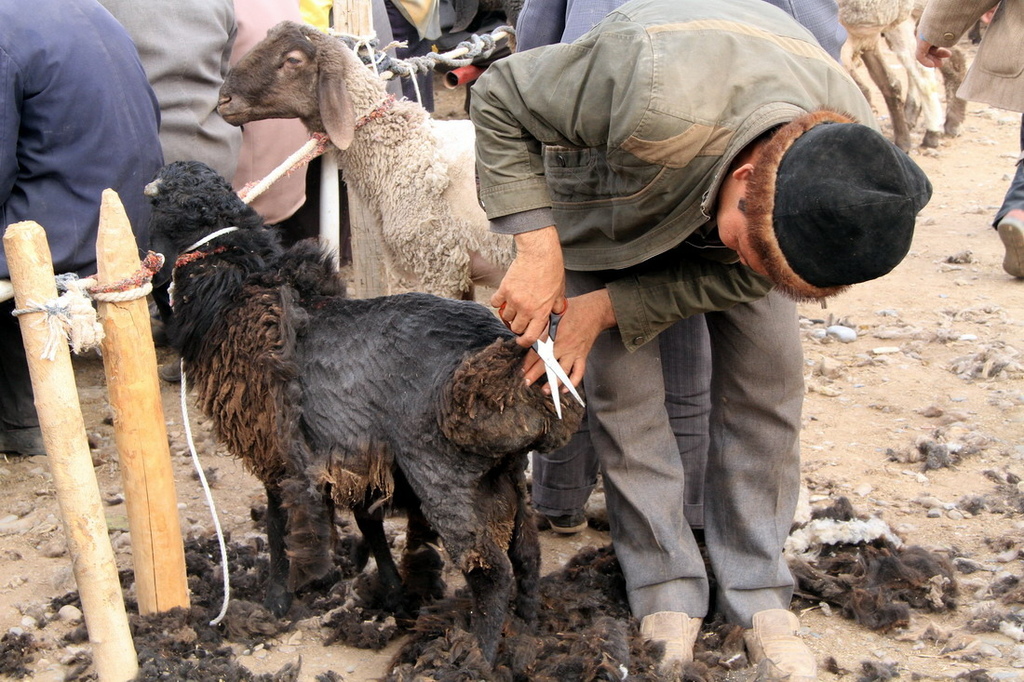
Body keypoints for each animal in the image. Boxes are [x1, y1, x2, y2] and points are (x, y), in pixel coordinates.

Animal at [142, 159, 585, 659]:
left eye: (159, 204)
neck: (239, 282)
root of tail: (512, 360)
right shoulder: (354, 453)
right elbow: (367, 523)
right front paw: (394, 594)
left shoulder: (276, 453)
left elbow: (278, 524)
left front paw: (276, 600)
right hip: (503, 472)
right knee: (526, 552)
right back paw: (526, 626)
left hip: (443, 472)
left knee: (490, 570)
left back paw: (477, 654)